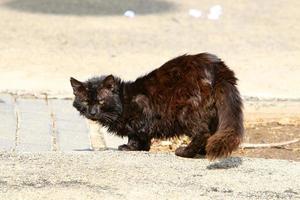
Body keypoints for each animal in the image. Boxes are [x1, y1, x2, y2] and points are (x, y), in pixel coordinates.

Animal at [70, 52, 244, 159]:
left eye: (101, 101)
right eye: (85, 102)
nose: (92, 112)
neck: (123, 99)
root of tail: (218, 68)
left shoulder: (141, 110)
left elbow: (136, 133)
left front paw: (130, 147)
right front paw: (142, 148)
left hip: (186, 111)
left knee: (202, 133)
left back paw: (185, 152)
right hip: (212, 113)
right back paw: (202, 151)